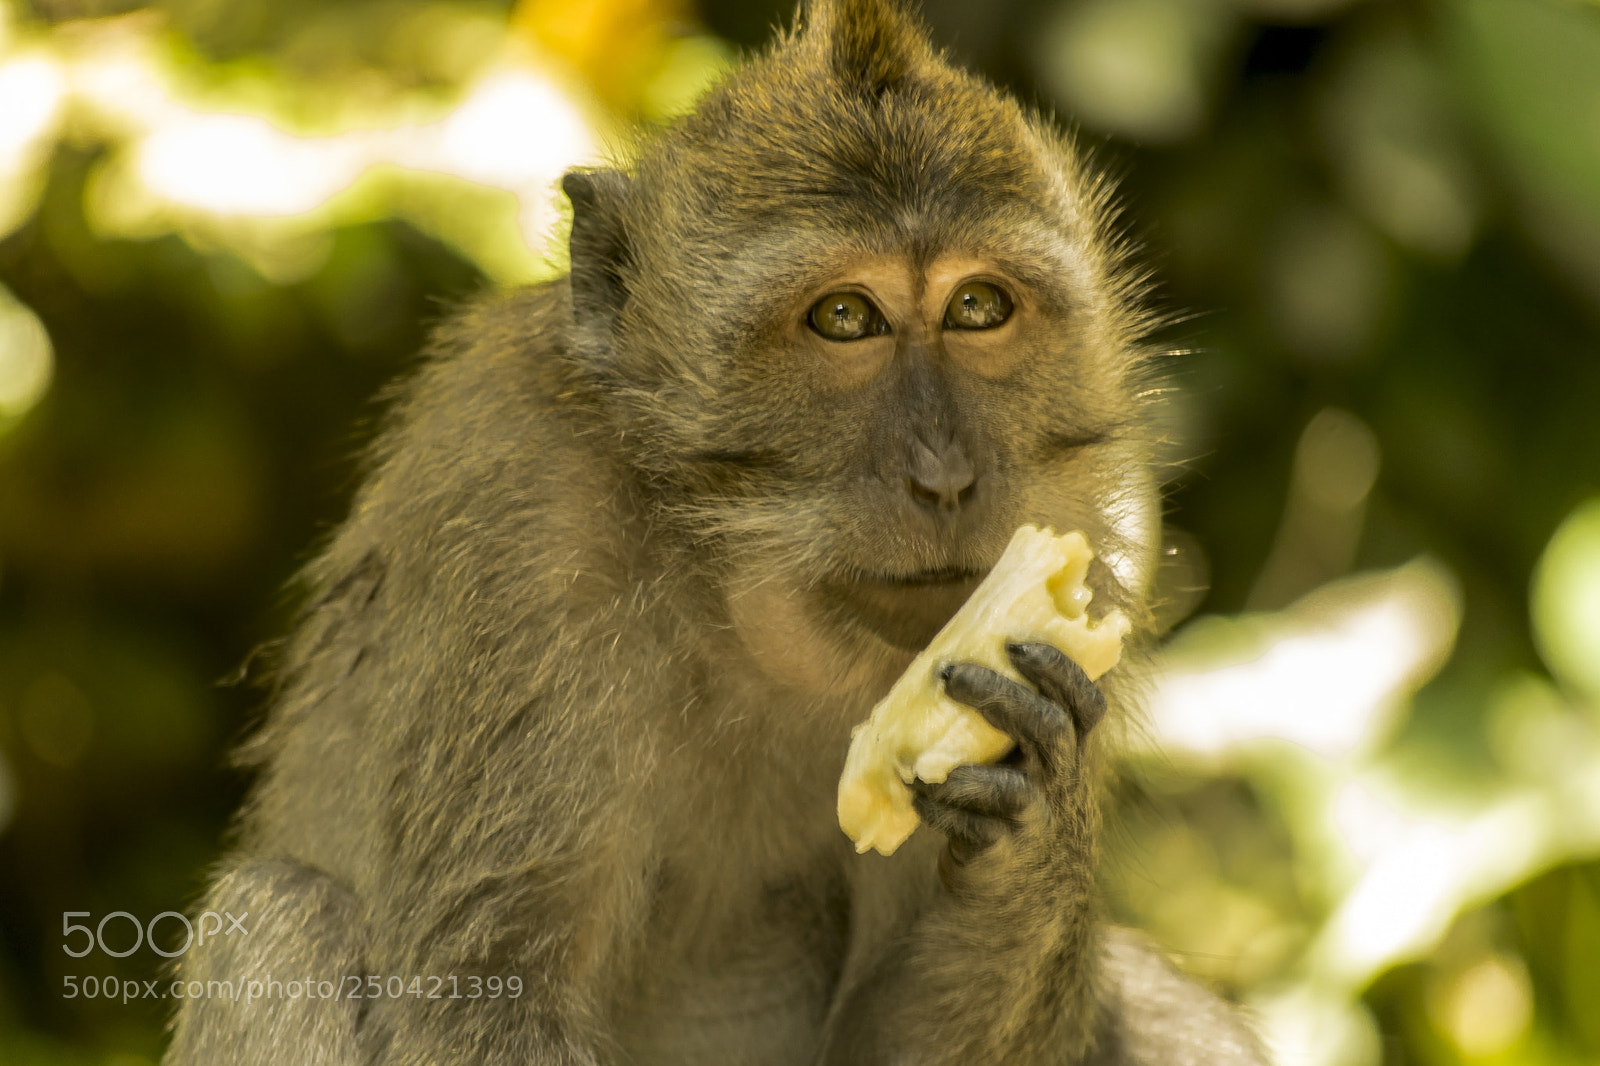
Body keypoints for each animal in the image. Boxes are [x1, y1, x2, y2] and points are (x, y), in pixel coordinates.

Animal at [163, 1, 1269, 1063]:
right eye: (844, 318)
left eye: (978, 306)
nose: (947, 478)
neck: (728, 589)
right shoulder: (522, 522)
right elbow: (481, 994)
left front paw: (1029, 813)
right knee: (280, 920)